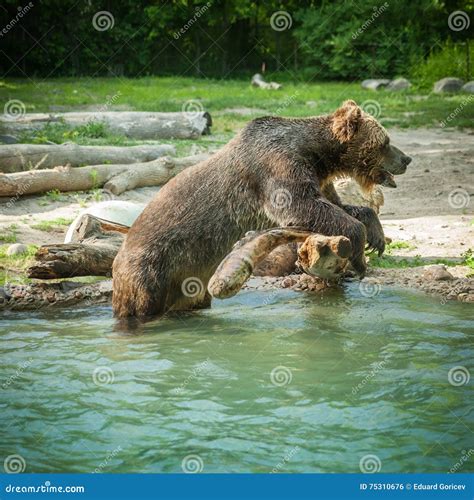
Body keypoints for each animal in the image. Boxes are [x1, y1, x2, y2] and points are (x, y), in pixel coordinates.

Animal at [112, 100, 412, 318]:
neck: (318, 156)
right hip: (151, 270)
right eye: (385, 142)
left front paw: (376, 236)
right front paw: (360, 254)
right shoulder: (277, 166)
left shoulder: (317, 177)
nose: (407, 158)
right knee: (140, 304)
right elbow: (303, 205)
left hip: (189, 281)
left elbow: (337, 207)